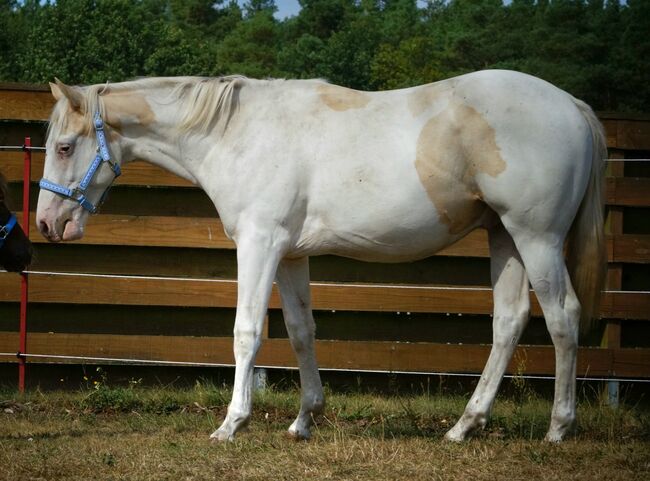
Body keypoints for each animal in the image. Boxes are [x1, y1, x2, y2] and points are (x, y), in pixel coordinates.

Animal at [36, 70, 606, 443]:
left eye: (64, 147)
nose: (47, 223)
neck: (235, 132)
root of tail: (573, 107)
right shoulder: (289, 255)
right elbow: (300, 331)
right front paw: (304, 419)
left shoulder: (259, 244)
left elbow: (247, 332)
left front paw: (231, 424)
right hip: (504, 237)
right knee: (509, 321)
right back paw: (463, 427)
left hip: (537, 238)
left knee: (562, 319)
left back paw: (558, 428)